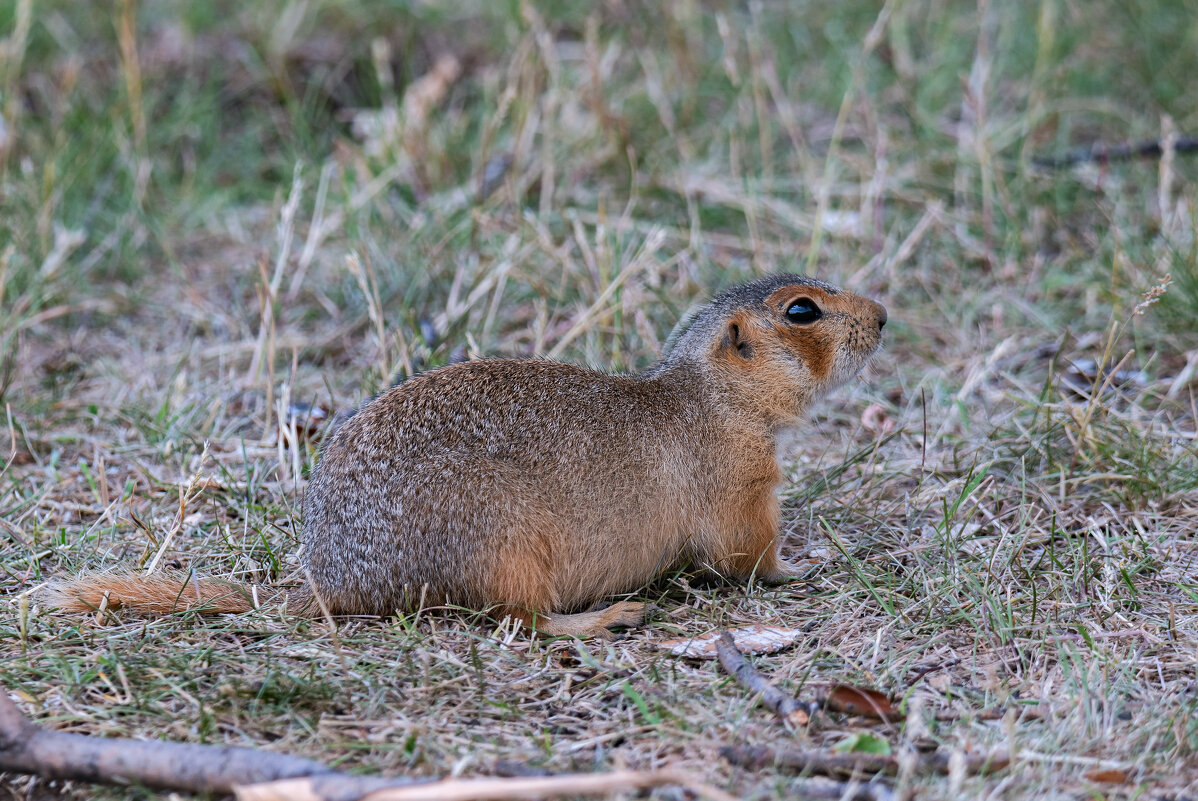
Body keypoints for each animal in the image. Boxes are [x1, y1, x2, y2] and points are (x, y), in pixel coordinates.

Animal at [46, 275, 886, 636]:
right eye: (802, 310)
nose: (884, 314)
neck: (709, 394)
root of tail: (336, 581)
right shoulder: (742, 482)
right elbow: (749, 552)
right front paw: (806, 563)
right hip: (504, 540)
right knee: (520, 621)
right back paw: (611, 615)